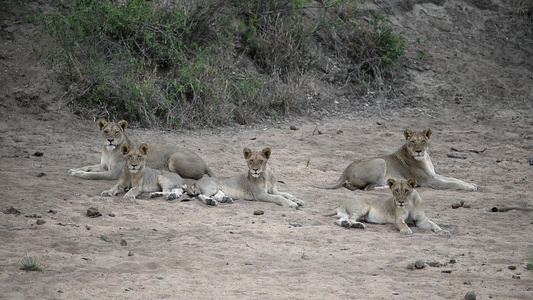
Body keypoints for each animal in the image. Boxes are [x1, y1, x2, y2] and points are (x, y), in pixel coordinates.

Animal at [67, 119, 213, 180]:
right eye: (106, 131)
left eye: (116, 132)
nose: (110, 140)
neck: (109, 151)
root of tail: (205, 163)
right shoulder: (103, 166)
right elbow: (88, 167)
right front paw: (74, 169)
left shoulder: (113, 173)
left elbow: (93, 174)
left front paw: (78, 174)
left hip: (174, 157)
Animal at [310, 127, 476, 191]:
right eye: (412, 142)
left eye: (423, 141)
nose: (418, 151)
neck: (425, 157)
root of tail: (345, 171)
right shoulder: (429, 180)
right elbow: (451, 184)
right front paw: (469, 188)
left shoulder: (433, 175)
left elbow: (454, 179)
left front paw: (472, 184)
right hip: (380, 161)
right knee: (367, 188)